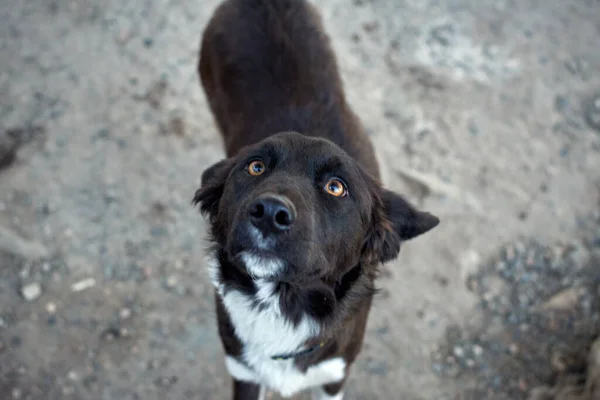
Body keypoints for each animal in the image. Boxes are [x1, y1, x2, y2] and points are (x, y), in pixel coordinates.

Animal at [195, 1, 438, 398]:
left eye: (336, 187)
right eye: (255, 167)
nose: (269, 213)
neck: (281, 306)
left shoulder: (333, 376)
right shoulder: (243, 372)